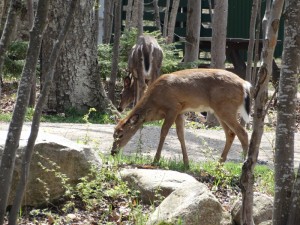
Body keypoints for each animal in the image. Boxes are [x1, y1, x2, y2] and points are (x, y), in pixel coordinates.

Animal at [111, 68, 252, 169]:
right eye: (114, 134)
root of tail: (245, 84)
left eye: (121, 135)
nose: (113, 152)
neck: (155, 103)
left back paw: (243, 165)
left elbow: (164, 132)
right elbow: (180, 135)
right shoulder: (180, 111)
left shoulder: (173, 107)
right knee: (231, 133)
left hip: (226, 107)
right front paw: (186, 163)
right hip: (220, 110)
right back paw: (219, 164)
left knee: (243, 132)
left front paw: (156, 160)